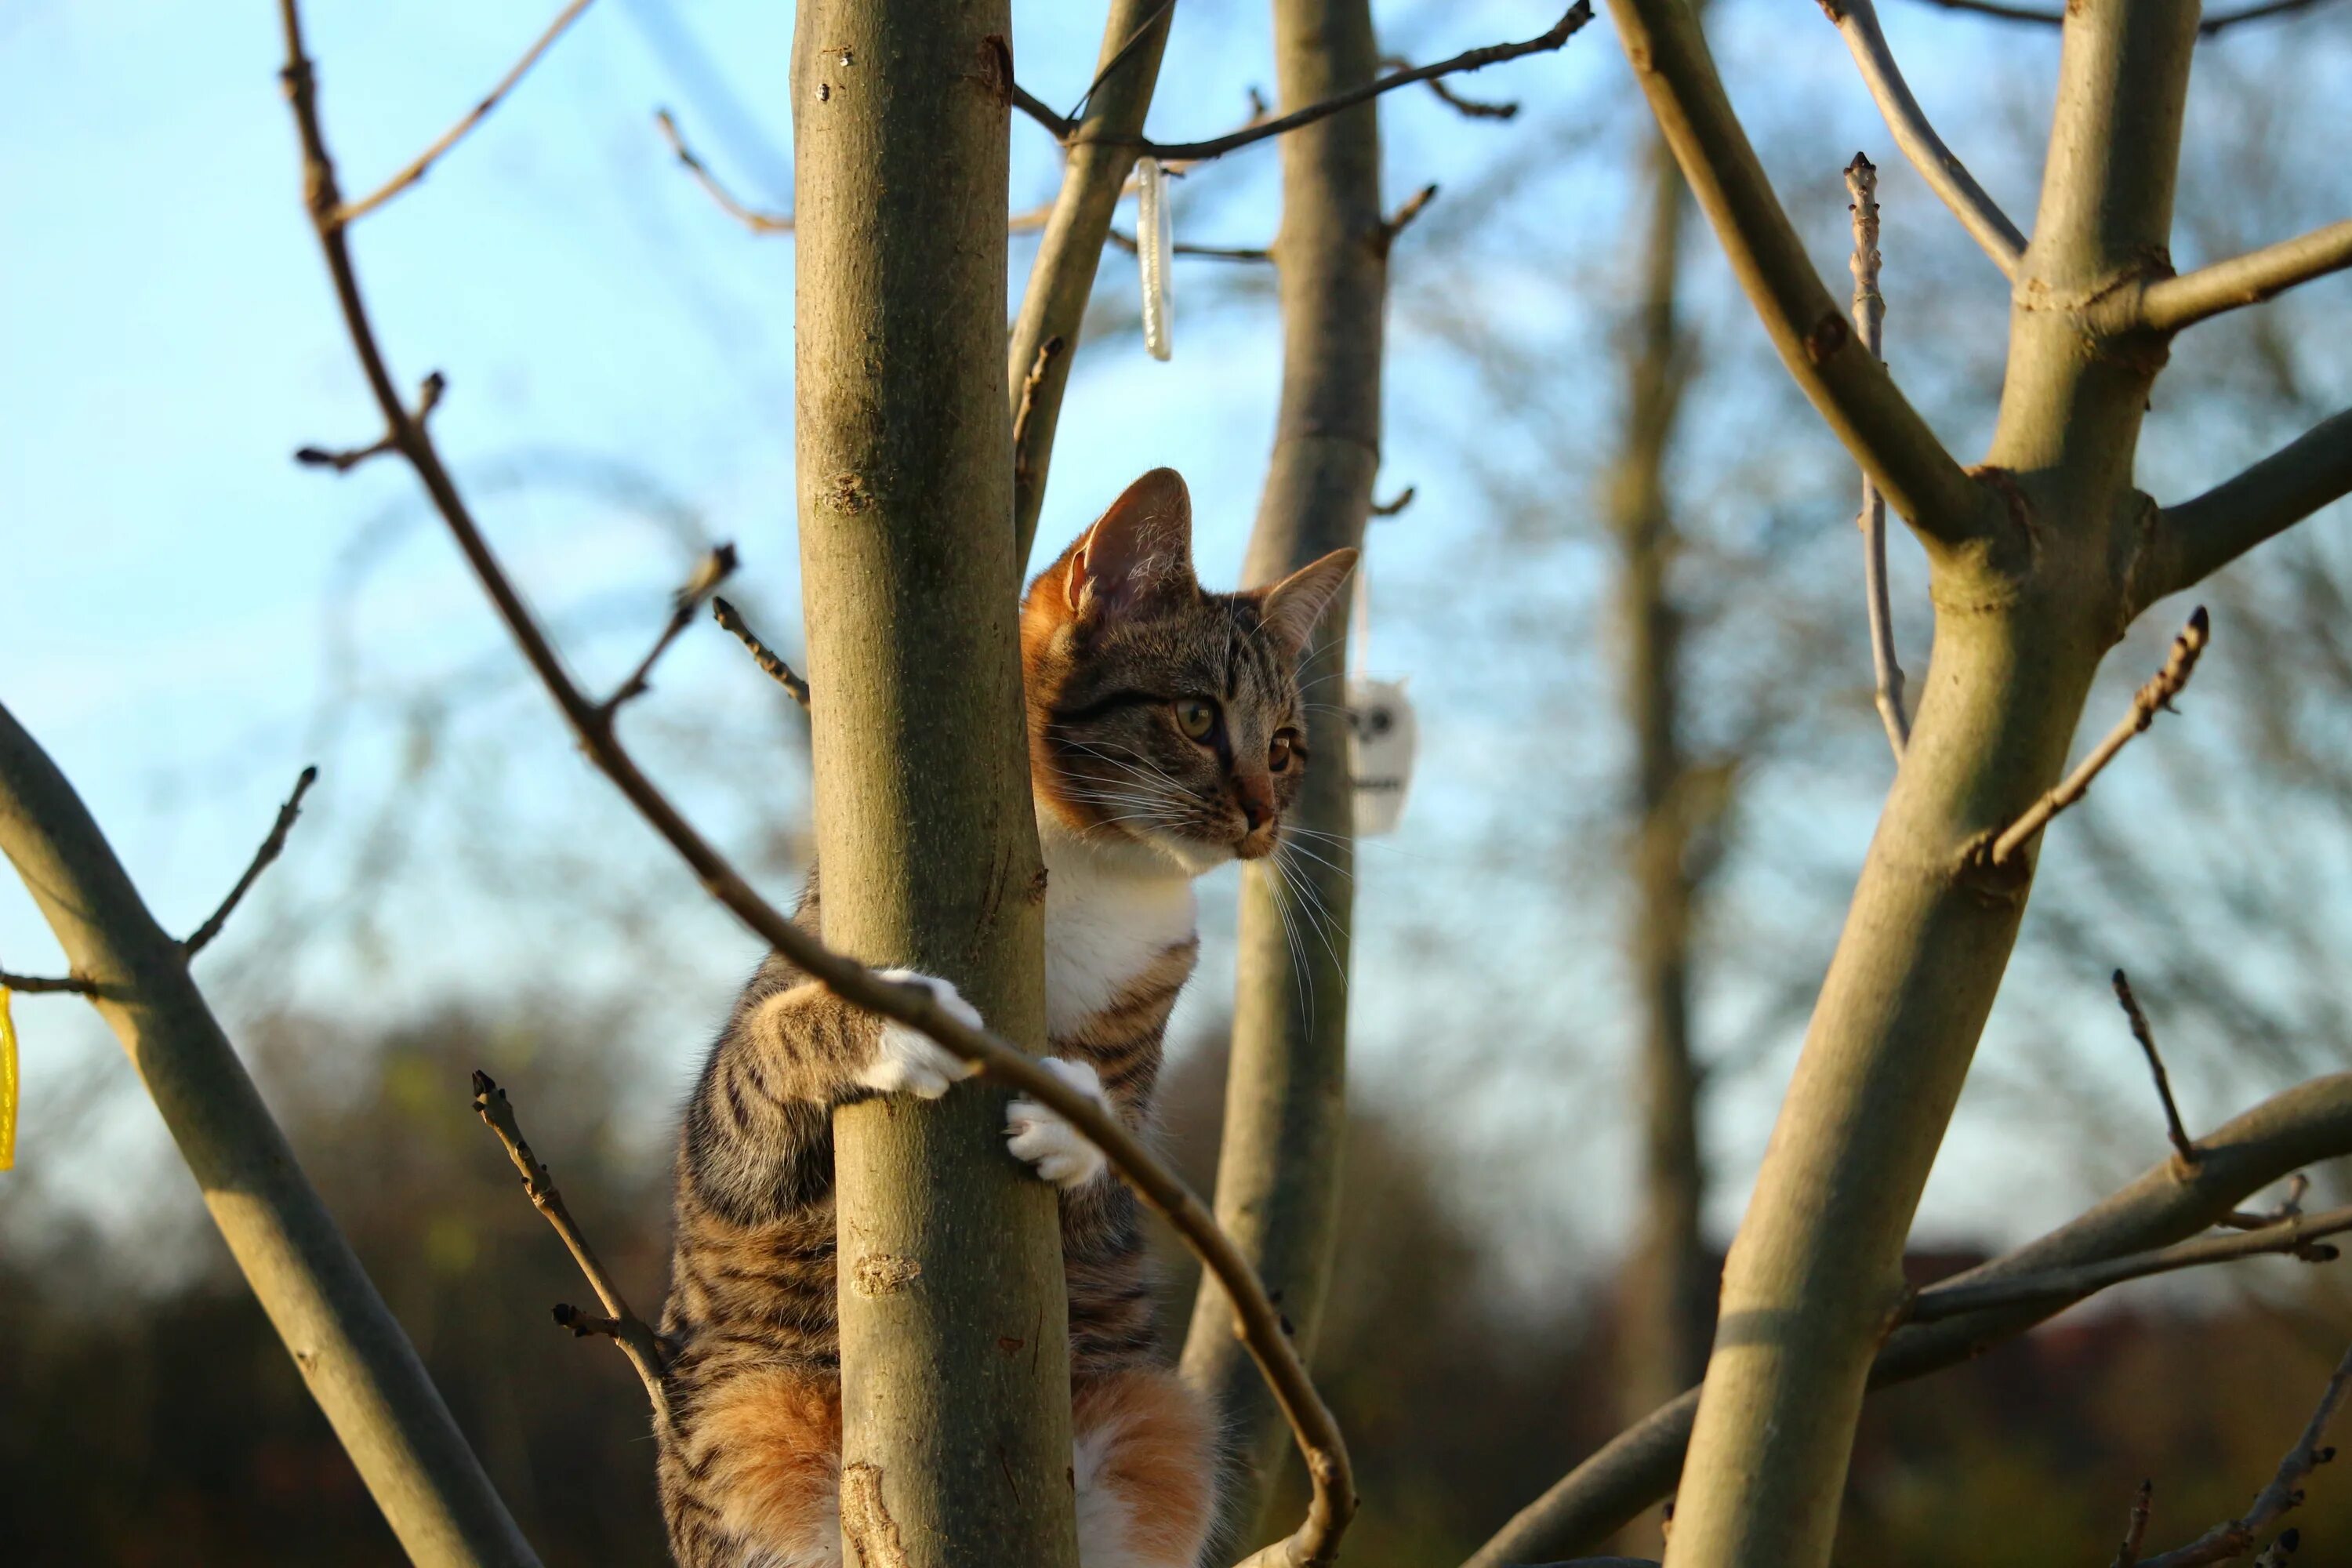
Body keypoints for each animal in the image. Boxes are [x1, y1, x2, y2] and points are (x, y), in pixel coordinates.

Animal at [663, 470, 1364, 1568]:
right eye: (1197, 714)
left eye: (1287, 747)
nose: (1265, 815)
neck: (1097, 871)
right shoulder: (730, 1137)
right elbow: (756, 1077)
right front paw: (896, 1024)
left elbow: (1125, 1143)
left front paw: (1077, 1118)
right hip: (748, 1423)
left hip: (1158, 1421)